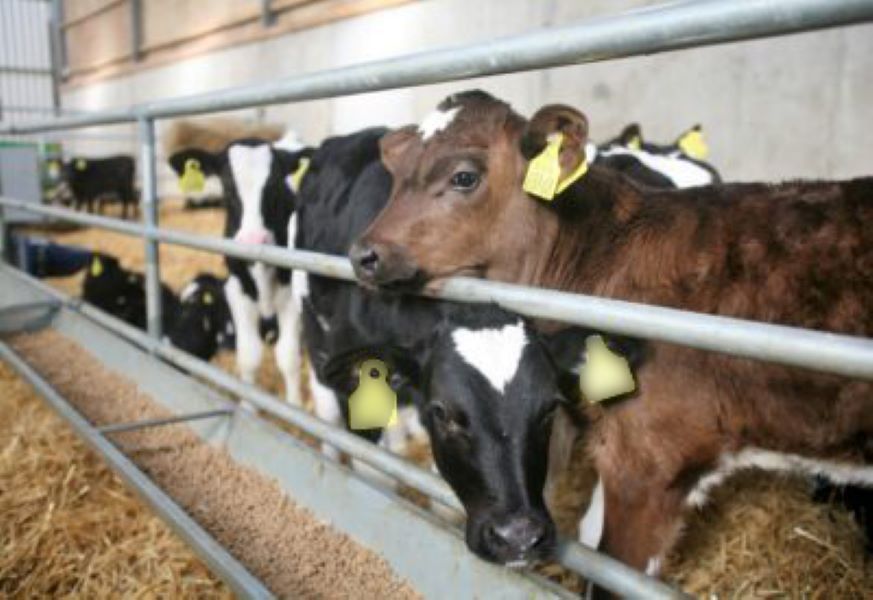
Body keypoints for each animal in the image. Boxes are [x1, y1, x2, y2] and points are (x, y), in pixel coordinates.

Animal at [167, 136, 308, 404]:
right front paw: (247, 405)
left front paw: (294, 404)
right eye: (226, 184)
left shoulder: (290, 296)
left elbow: (288, 357)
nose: (253, 240)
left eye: (274, 185)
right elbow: (249, 356)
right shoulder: (236, 289)